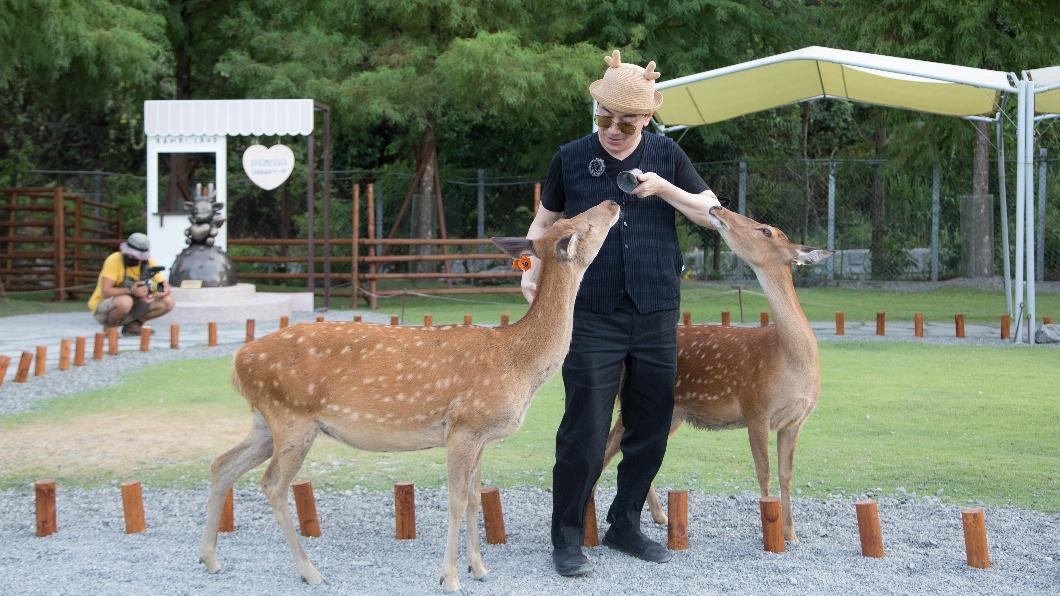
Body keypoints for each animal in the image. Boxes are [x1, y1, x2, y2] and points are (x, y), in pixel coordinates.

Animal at [198, 199, 621, 594]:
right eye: (583, 222)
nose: (613, 202)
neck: (518, 363)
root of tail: (238, 360)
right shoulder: (463, 426)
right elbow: (457, 500)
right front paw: (450, 577)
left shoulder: (482, 436)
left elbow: (475, 496)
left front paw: (480, 568)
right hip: (292, 418)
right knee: (271, 484)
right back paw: (309, 571)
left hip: (266, 420)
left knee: (223, 463)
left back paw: (210, 559)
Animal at [600, 205, 832, 543]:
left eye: (766, 230)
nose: (717, 207)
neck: (788, 358)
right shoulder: (755, 408)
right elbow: (764, 473)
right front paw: (772, 535)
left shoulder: (794, 421)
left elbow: (786, 475)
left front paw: (791, 534)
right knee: (607, 449)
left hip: (672, 414)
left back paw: (660, 516)